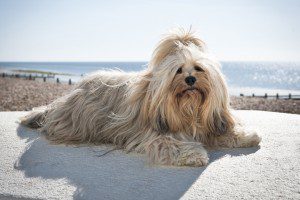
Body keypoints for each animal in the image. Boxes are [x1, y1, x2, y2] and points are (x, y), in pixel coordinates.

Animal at [20, 28, 260, 167]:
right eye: (179, 71)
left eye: (199, 69)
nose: (190, 79)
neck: (188, 109)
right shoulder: (157, 134)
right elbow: (173, 144)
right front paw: (194, 155)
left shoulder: (211, 122)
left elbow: (225, 132)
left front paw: (247, 135)